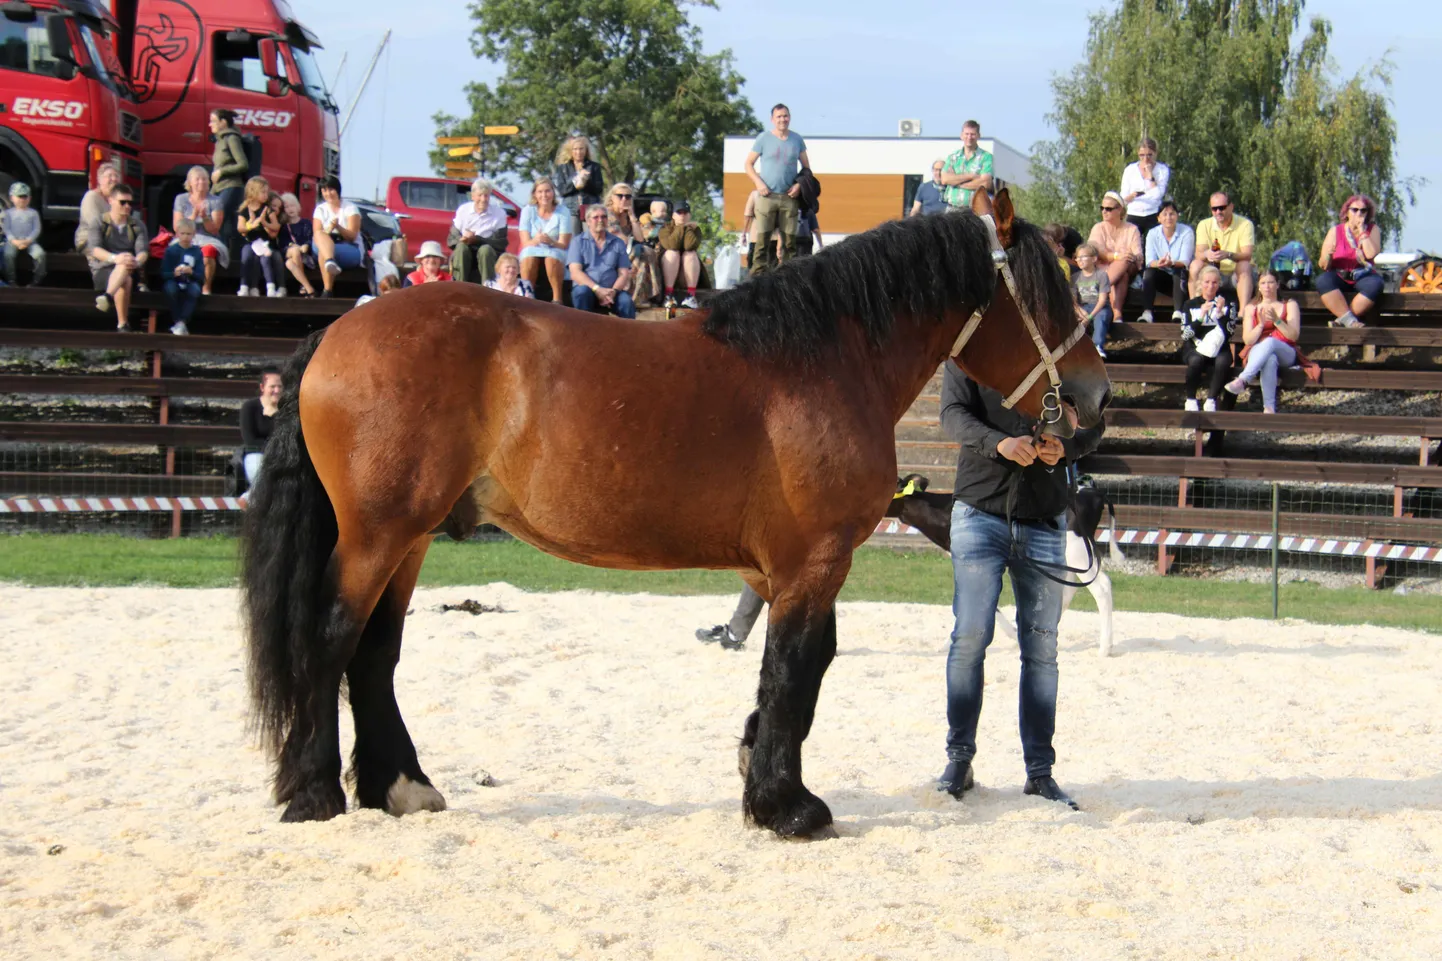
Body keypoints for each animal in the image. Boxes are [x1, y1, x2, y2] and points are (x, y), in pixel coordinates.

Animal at [242, 187, 1107, 831]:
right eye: (1051, 295)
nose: (1093, 398)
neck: (823, 361)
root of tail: (334, 334)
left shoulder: (802, 564)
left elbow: (804, 666)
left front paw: (760, 774)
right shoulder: (816, 559)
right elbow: (795, 667)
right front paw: (787, 806)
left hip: (411, 537)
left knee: (374, 653)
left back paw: (400, 785)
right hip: (377, 535)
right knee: (331, 636)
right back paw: (314, 792)